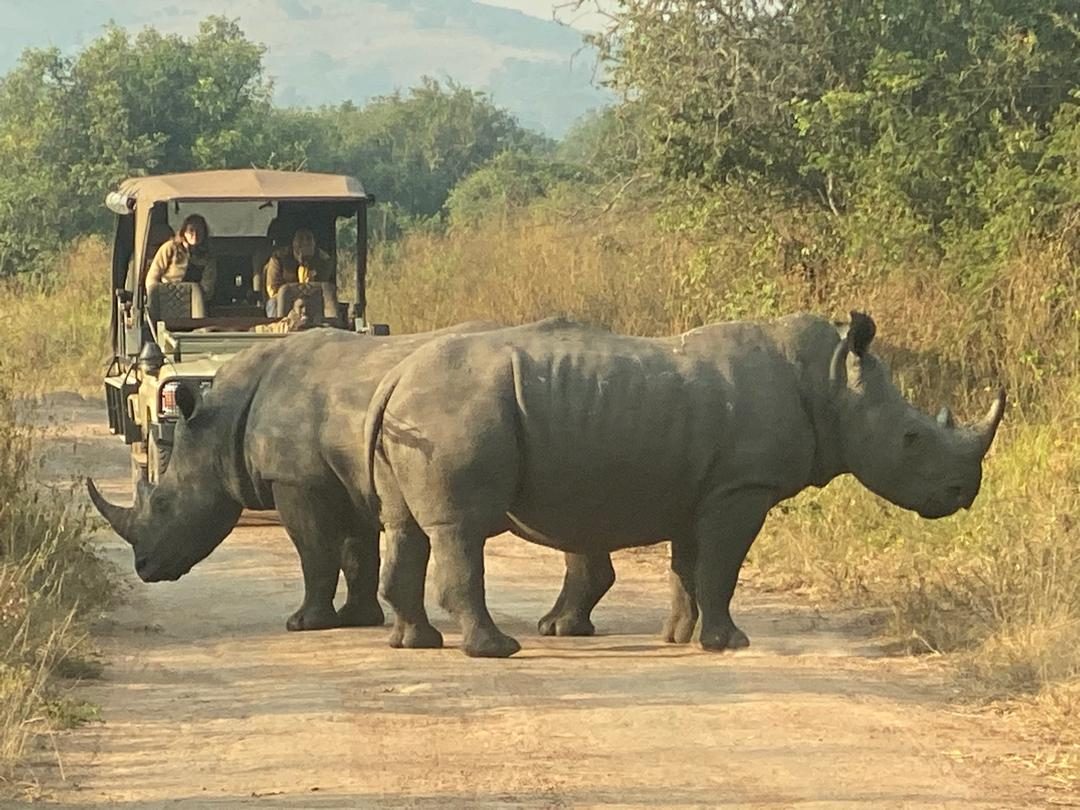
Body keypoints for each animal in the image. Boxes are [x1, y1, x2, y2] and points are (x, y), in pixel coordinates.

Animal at [86, 326, 617, 637]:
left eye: (164, 504)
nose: (144, 568)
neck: (220, 417)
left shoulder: (298, 480)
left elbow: (316, 552)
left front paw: (305, 624)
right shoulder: (347, 477)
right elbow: (357, 552)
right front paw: (357, 620)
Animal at [364, 312, 1006, 658]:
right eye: (911, 438)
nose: (963, 494)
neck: (831, 386)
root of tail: (394, 376)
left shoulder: (702, 489)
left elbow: (689, 570)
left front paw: (677, 637)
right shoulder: (740, 489)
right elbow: (721, 568)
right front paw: (731, 642)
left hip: (426, 414)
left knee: (406, 526)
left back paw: (417, 643)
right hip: (457, 412)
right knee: (462, 529)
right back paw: (497, 650)